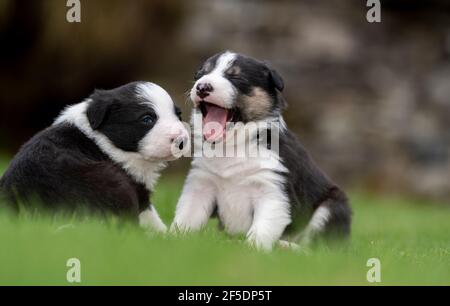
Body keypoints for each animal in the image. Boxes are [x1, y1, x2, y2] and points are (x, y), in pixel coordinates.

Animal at [0, 81, 188, 232]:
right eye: (147, 119)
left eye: (178, 115)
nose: (182, 141)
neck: (104, 138)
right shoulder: (134, 183)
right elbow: (150, 215)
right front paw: (167, 237)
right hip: (112, 184)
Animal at [172, 51, 352, 250]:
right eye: (201, 74)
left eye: (236, 77)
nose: (202, 87)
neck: (233, 146)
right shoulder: (201, 184)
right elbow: (186, 217)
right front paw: (169, 239)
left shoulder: (273, 190)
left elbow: (261, 230)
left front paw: (251, 249)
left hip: (333, 206)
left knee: (317, 248)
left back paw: (286, 247)